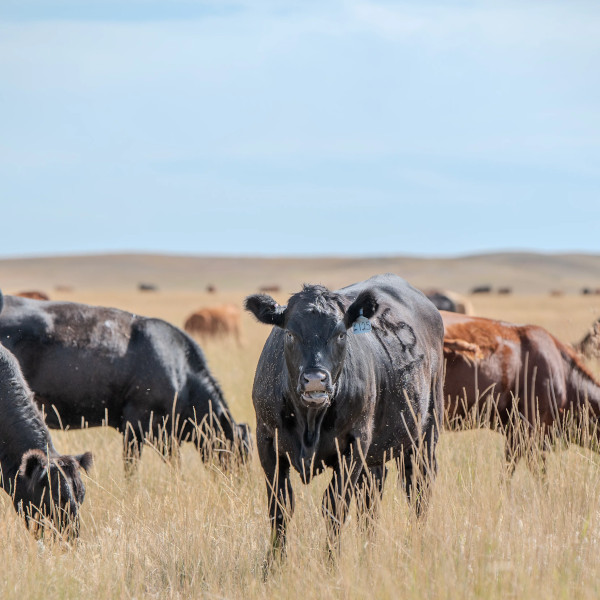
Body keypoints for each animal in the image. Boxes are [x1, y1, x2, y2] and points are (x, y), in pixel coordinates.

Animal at [0, 292, 251, 472]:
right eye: (236, 453)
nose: (237, 485)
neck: (181, 373)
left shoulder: (166, 434)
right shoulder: (137, 424)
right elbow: (135, 468)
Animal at [245, 274, 446, 564]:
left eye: (340, 334)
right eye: (290, 334)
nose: (315, 380)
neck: (310, 423)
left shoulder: (354, 445)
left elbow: (334, 506)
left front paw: (331, 563)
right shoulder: (266, 440)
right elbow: (280, 506)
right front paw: (273, 565)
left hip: (425, 435)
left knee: (418, 489)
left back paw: (415, 545)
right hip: (377, 455)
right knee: (371, 499)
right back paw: (368, 551)